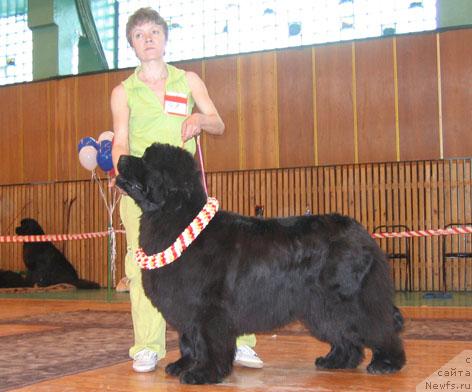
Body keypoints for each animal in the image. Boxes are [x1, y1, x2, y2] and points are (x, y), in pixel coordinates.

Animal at [117, 142, 406, 384]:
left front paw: (203, 373)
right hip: (319, 306)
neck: (176, 219)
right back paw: (336, 360)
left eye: (146, 160)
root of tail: (361, 232)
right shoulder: (187, 308)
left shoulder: (208, 309)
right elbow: (189, 340)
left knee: (377, 326)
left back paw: (386, 363)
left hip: (349, 298)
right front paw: (183, 365)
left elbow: (207, 342)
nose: (119, 157)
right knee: (343, 333)